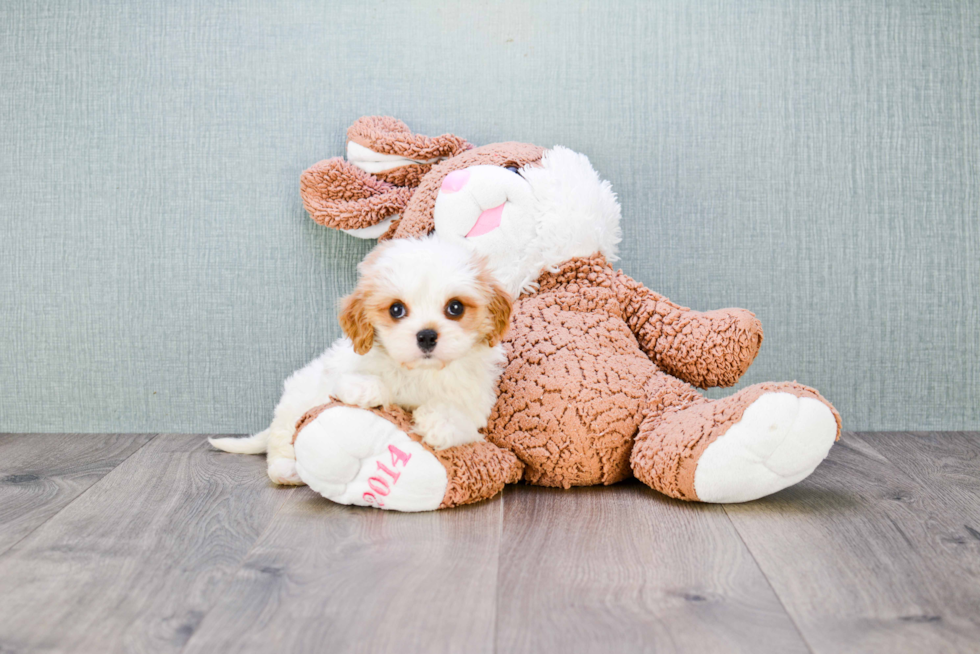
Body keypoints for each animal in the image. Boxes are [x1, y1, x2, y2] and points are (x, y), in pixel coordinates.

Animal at [209, 236, 512, 486]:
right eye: (396, 309)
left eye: (455, 307)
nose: (426, 335)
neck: (420, 372)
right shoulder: (338, 370)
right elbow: (350, 380)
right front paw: (369, 389)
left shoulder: (475, 403)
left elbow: (461, 416)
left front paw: (439, 423)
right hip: (293, 406)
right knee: (280, 445)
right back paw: (287, 470)